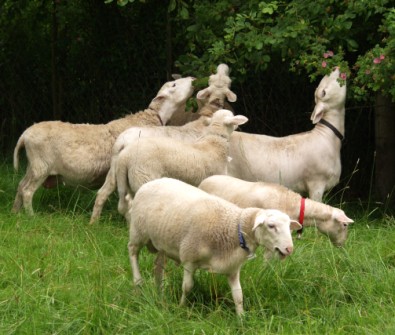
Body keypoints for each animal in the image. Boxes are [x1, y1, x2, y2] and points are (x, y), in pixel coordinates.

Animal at [12, 75, 196, 215]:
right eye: (174, 84)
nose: (194, 80)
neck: (153, 117)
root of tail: (25, 134)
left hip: (33, 166)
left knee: (20, 186)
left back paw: (16, 213)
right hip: (41, 166)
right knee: (27, 191)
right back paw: (31, 216)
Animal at [89, 64, 238, 224]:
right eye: (174, 85)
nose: (193, 79)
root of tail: (122, 141)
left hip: (115, 168)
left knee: (104, 192)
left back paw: (94, 222)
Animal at [127, 177, 304, 316]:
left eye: (289, 226)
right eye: (271, 226)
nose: (289, 249)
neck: (232, 229)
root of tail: (152, 181)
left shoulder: (232, 269)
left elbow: (238, 296)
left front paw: (241, 319)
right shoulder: (189, 259)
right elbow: (187, 287)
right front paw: (181, 307)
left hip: (162, 243)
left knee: (158, 266)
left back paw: (160, 291)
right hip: (138, 231)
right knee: (132, 252)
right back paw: (137, 283)